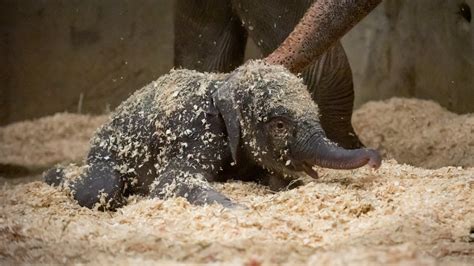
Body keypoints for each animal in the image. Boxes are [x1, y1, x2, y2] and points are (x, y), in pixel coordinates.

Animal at [43, 1, 382, 210]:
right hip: (105, 157)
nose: (375, 158)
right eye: (279, 125)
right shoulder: (197, 133)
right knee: (100, 187)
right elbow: (171, 180)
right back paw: (52, 175)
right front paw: (238, 209)